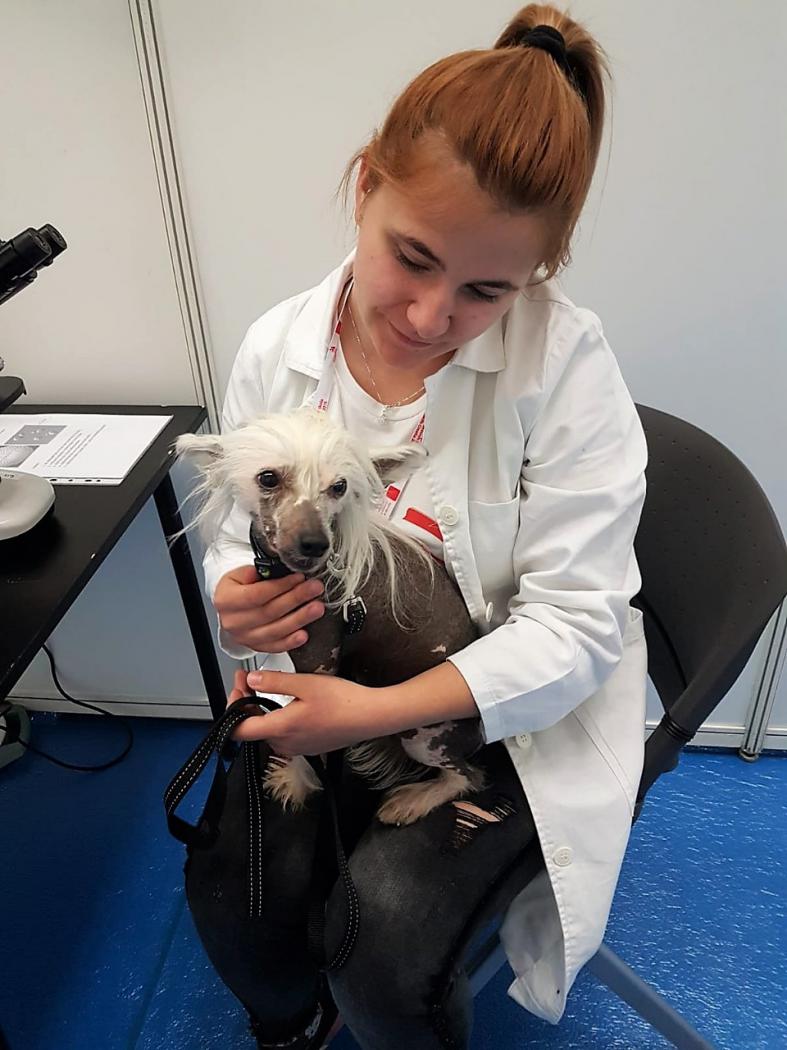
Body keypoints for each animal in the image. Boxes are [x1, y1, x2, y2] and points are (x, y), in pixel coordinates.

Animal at [176, 407, 484, 825]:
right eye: (268, 478)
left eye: (338, 487)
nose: (314, 544)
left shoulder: (320, 663)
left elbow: (311, 739)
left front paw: (300, 777)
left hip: (424, 738)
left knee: (467, 776)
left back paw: (416, 799)